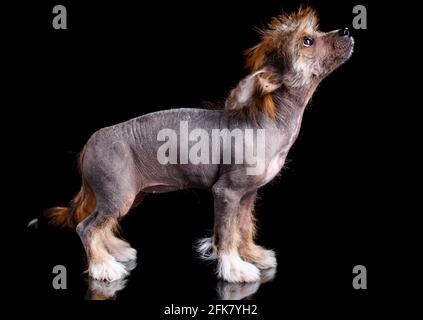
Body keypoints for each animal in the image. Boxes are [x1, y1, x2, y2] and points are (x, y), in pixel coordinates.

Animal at [36, 6, 354, 282]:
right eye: (308, 40)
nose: (347, 30)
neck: (266, 120)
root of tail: (88, 146)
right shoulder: (226, 193)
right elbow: (225, 235)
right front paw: (234, 269)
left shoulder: (247, 195)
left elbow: (243, 228)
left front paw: (252, 254)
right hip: (119, 195)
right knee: (86, 227)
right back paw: (104, 267)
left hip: (126, 195)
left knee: (100, 225)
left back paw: (113, 250)